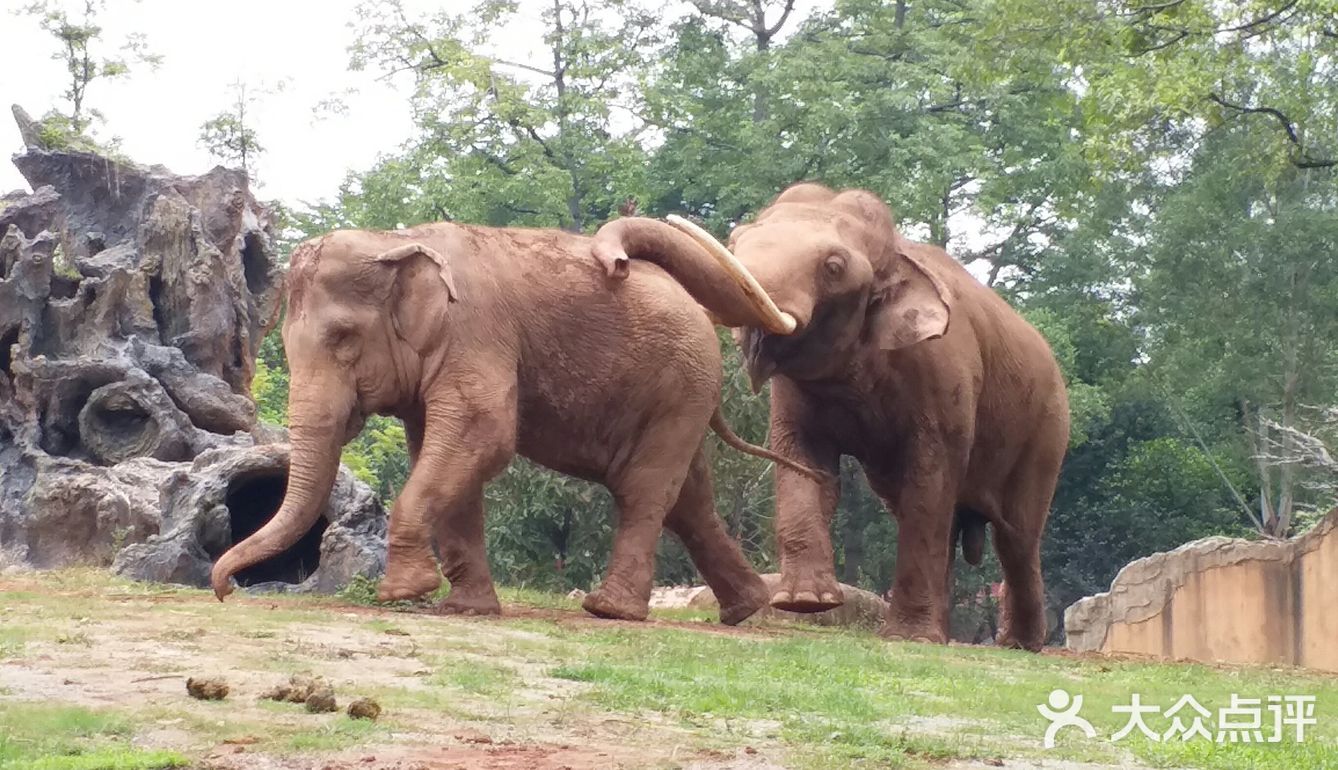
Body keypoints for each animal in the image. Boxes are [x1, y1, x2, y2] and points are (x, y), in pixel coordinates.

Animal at [208, 218, 824, 626]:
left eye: (343, 338)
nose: (225, 590)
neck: (394, 240)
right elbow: (442, 452)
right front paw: (465, 608)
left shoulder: (474, 333)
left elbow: (483, 435)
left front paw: (402, 595)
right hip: (680, 395)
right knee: (689, 499)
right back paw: (744, 610)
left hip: (680, 384)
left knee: (645, 489)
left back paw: (610, 611)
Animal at [591, 184, 1070, 650]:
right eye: (736, 240)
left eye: (834, 267)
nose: (616, 263)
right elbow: (803, 460)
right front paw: (805, 602)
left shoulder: (943, 375)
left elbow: (928, 481)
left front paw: (907, 637)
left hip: (1046, 433)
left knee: (1016, 536)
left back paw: (1017, 643)